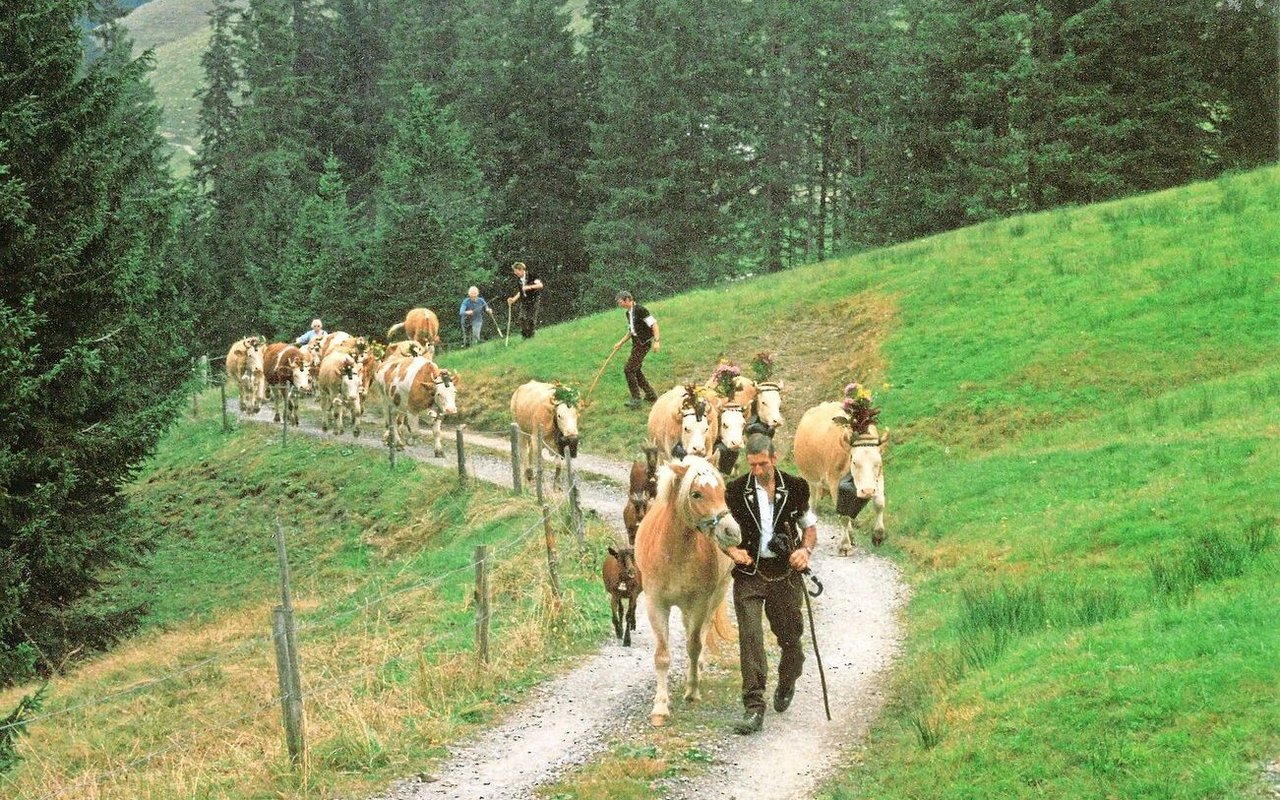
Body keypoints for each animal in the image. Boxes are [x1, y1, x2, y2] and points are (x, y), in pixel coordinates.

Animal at [632, 455, 742, 721]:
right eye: (696, 494)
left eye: (722, 491)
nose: (732, 532)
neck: (674, 551)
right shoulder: (656, 605)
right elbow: (662, 655)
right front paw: (660, 706)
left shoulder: (699, 603)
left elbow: (694, 645)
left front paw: (692, 690)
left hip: (716, 595)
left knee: (702, 632)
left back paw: (698, 672)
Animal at [788, 381, 890, 555]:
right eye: (854, 462)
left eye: (878, 463)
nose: (867, 491)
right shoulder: (834, 481)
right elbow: (843, 516)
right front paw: (844, 545)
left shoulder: (878, 478)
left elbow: (879, 504)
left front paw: (878, 535)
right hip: (811, 480)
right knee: (813, 505)